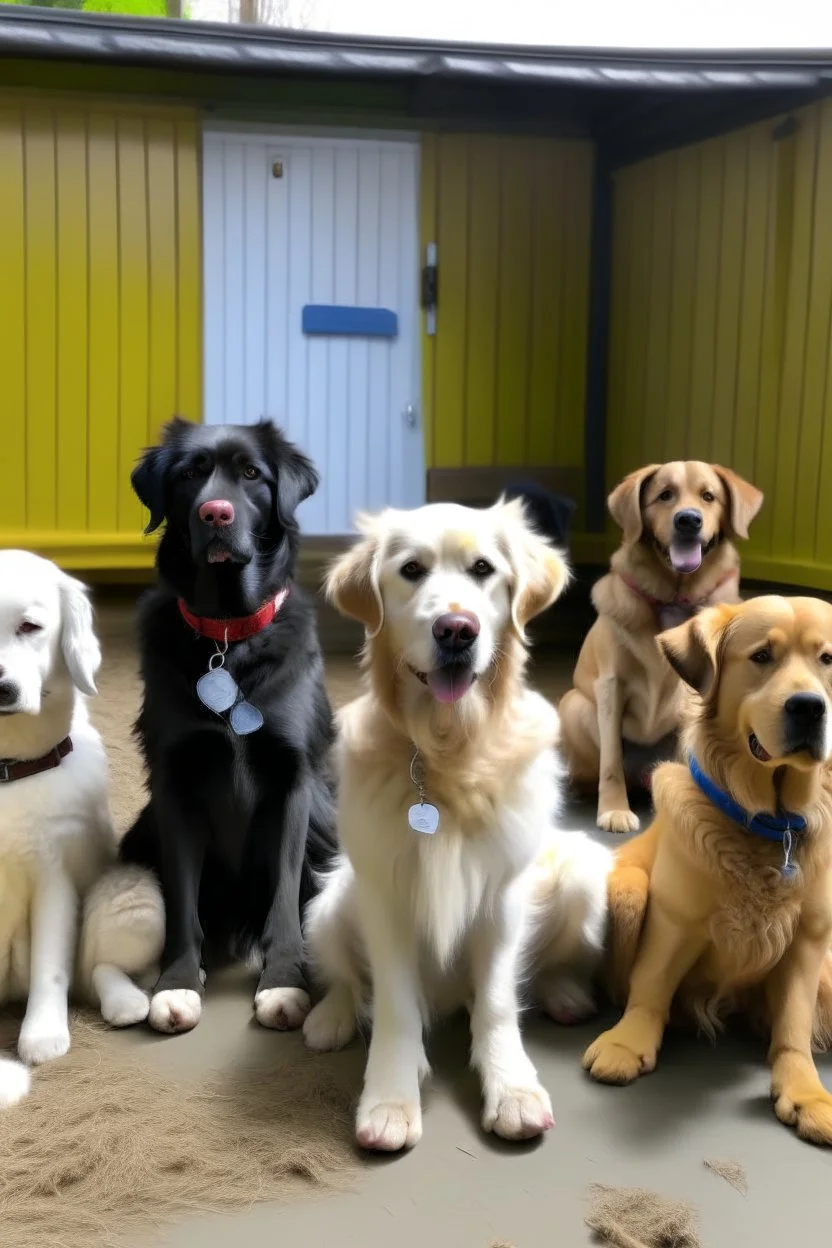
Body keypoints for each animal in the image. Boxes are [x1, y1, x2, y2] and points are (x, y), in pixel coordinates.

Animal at [0, 551, 163, 1108]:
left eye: (30, 627)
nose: (3, 689)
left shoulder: (54, 877)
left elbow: (52, 966)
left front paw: (43, 1035)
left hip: (134, 897)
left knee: (95, 970)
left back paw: (125, 1001)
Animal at [120, 416, 334, 1033]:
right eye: (190, 474)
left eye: (252, 474)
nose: (215, 513)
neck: (226, 638)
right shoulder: (174, 782)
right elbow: (181, 894)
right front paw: (177, 981)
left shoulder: (293, 781)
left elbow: (285, 893)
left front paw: (284, 979)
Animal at [300, 499, 611, 1148]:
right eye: (411, 570)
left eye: (483, 569)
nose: (456, 630)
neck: (447, 751)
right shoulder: (384, 892)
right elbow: (393, 1006)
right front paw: (390, 1099)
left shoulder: (504, 894)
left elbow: (496, 1002)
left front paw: (512, 1089)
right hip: (331, 901)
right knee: (346, 978)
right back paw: (330, 1017)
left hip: (582, 871)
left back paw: (564, 993)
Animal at [558, 459, 763, 828]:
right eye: (665, 495)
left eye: (708, 496)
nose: (688, 520)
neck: (674, 597)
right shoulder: (610, 686)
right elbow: (611, 761)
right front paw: (613, 809)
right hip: (574, 705)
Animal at [583, 599, 832, 1143]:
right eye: (762, 656)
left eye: (827, 659)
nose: (810, 706)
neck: (770, 823)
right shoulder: (675, 921)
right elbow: (650, 987)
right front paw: (626, 1044)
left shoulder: (808, 940)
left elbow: (794, 1023)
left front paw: (805, 1090)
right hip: (628, 890)